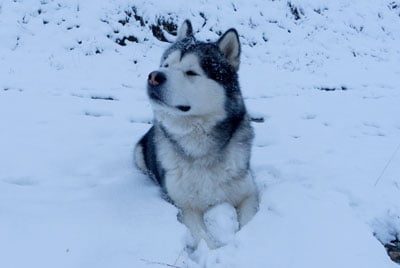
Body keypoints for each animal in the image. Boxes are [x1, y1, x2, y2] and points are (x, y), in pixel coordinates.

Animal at [134, 19, 260, 248]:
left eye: (191, 72)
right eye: (166, 65)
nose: (154, 76)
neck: (201, 150)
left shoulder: (248, 194)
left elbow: (248, 222)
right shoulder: (185, 207)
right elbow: (204, 239)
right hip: (139, 154)